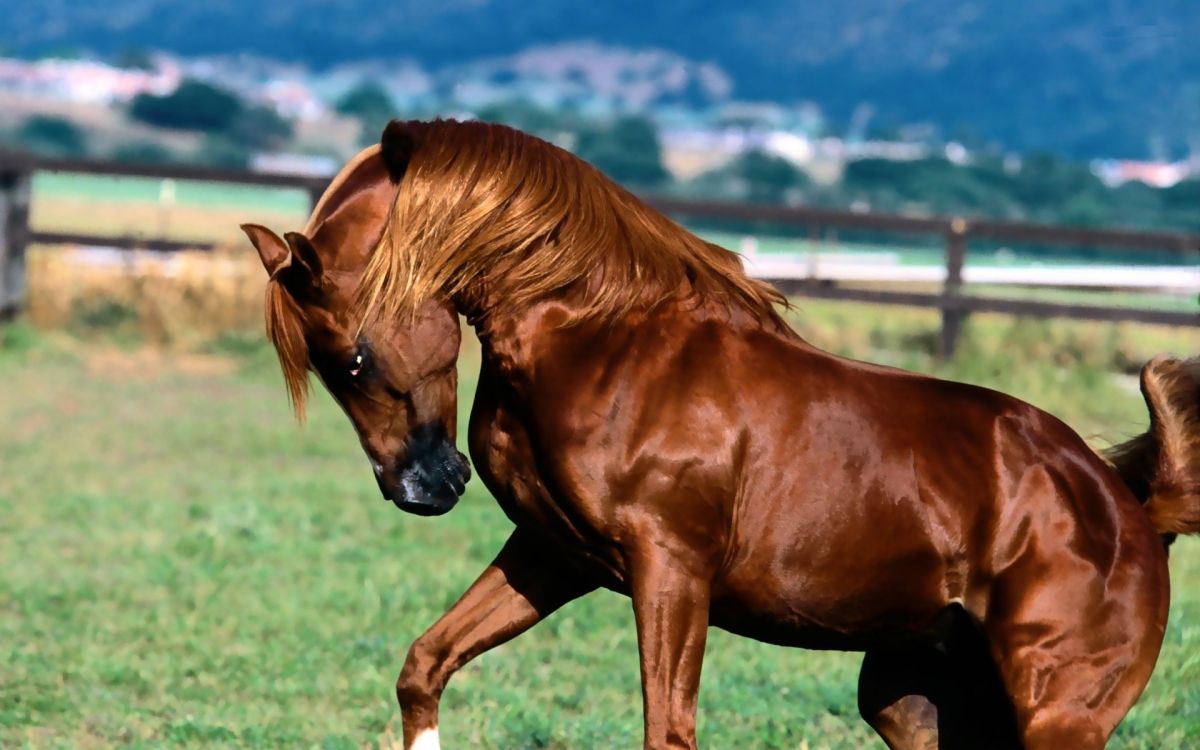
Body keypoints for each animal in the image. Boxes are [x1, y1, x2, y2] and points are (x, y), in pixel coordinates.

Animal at [240, 119, 1200, 750]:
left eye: (350, 359)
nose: (423, 488)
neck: (602, 341)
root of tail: (1131, 510)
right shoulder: (555, 554)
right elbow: (425, 664)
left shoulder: (671, 571)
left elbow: (667, 731)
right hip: (912, 700)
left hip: (1054, 715)